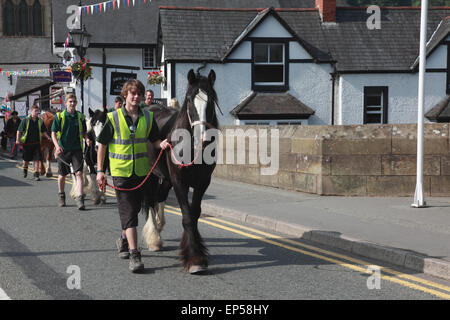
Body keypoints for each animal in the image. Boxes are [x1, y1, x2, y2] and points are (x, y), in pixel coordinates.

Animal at [142, 69, 220, 274]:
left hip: (165, 178)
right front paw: (194, 258)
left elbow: (194, 214)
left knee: (158, 198)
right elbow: (187, 217)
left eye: (211, 100)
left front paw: (197, 254)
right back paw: (154, 237)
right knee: (150, 200)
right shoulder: (179, 181)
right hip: (150, 175)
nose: (203, 138)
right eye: (190, 100)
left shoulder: (203, 182)